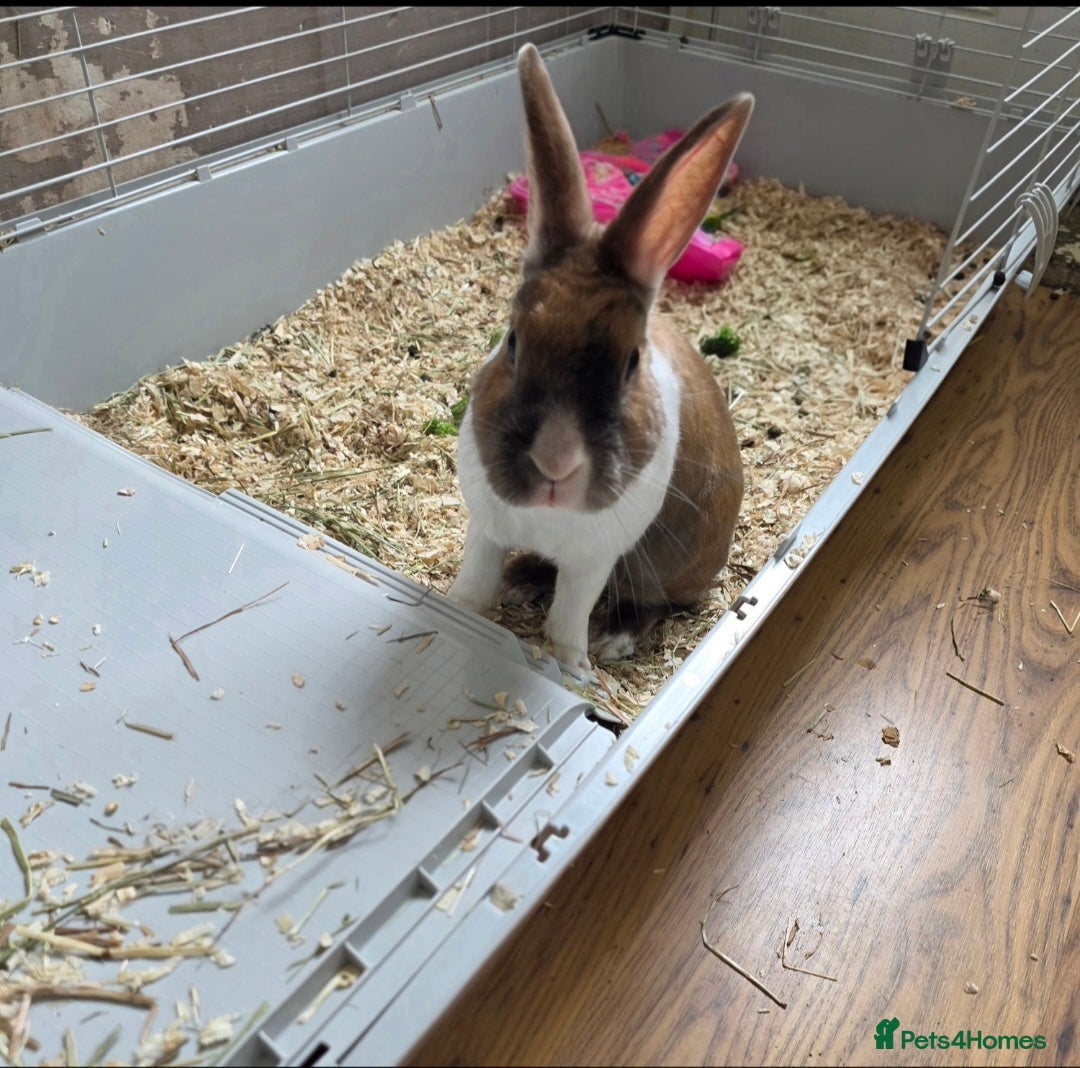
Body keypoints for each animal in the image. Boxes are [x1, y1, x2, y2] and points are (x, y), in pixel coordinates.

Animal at [448, 43, 752, 672]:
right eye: (513, 341)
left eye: (631, 362)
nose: (555, 463)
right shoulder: (485, 529)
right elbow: (477, 578)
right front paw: (459, 609)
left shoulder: (595, 558)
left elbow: (572, 610)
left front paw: (570, 664)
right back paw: (521, 577)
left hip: (663, 566)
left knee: (653, 601)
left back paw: (613, 638)